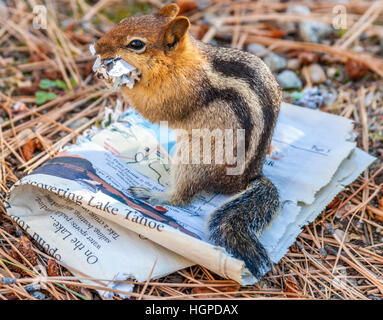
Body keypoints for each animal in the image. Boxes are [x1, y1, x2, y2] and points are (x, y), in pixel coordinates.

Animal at [94, 3, 284, 278]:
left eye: (136, 44)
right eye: (124, 20)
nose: (97, 47)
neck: (178, 62)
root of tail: (244, 180)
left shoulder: (177, 93)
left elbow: (153, 108)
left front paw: (120, 81)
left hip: (193, 158)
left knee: (183, 197)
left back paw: (155, 194)